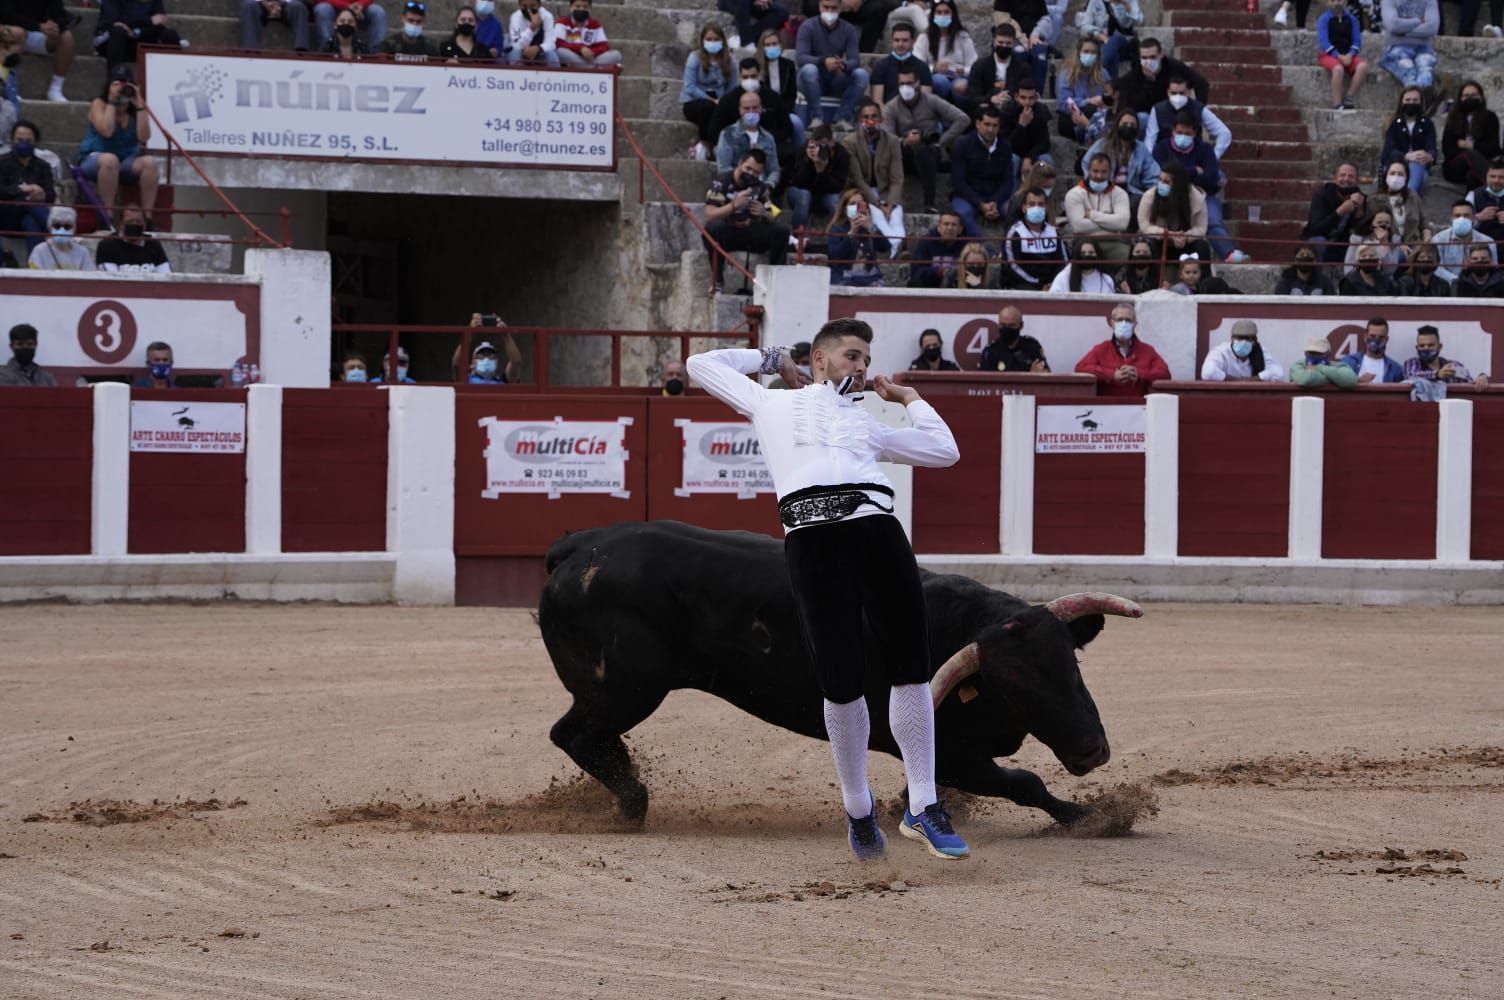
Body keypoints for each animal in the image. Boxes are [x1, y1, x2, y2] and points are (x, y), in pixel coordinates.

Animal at [541, 517, 1137, 824]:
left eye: (1072, 663)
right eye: (1012, 687)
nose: (1092, 750)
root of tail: (578, 547)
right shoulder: (957, 755)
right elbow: (1024, 782)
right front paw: (1091, 818)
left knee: (592, 739)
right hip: (626, 688)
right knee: (572, 734)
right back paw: (633, 802)